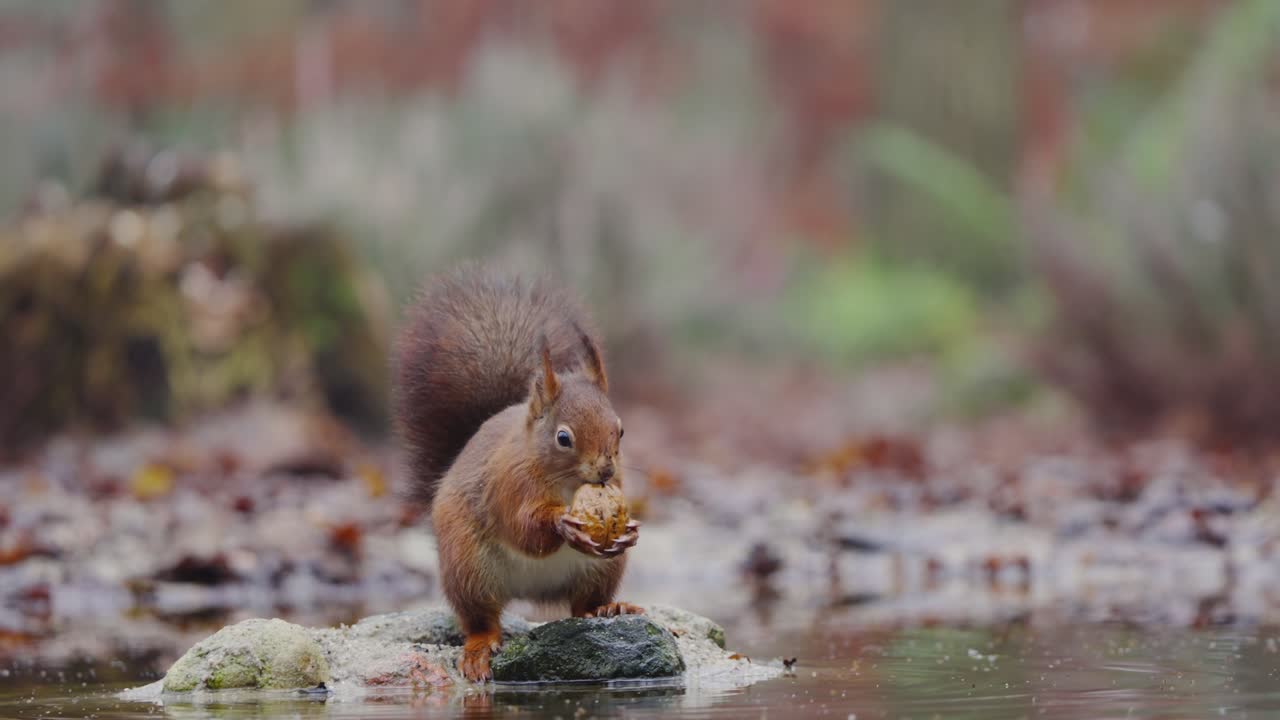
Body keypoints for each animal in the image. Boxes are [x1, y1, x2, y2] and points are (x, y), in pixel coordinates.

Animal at [394, 265, 641, 682]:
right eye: (563, 438)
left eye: (620, 431)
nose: (606, 470)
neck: (568, 484)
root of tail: (531, 592)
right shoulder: (509, 483)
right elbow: (523, 529)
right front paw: (563, 523)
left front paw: (630, 530)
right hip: (468, 566)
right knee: (481, 618)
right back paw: (480, 648)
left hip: (601, 570)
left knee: (582, 606)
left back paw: (608, 608)